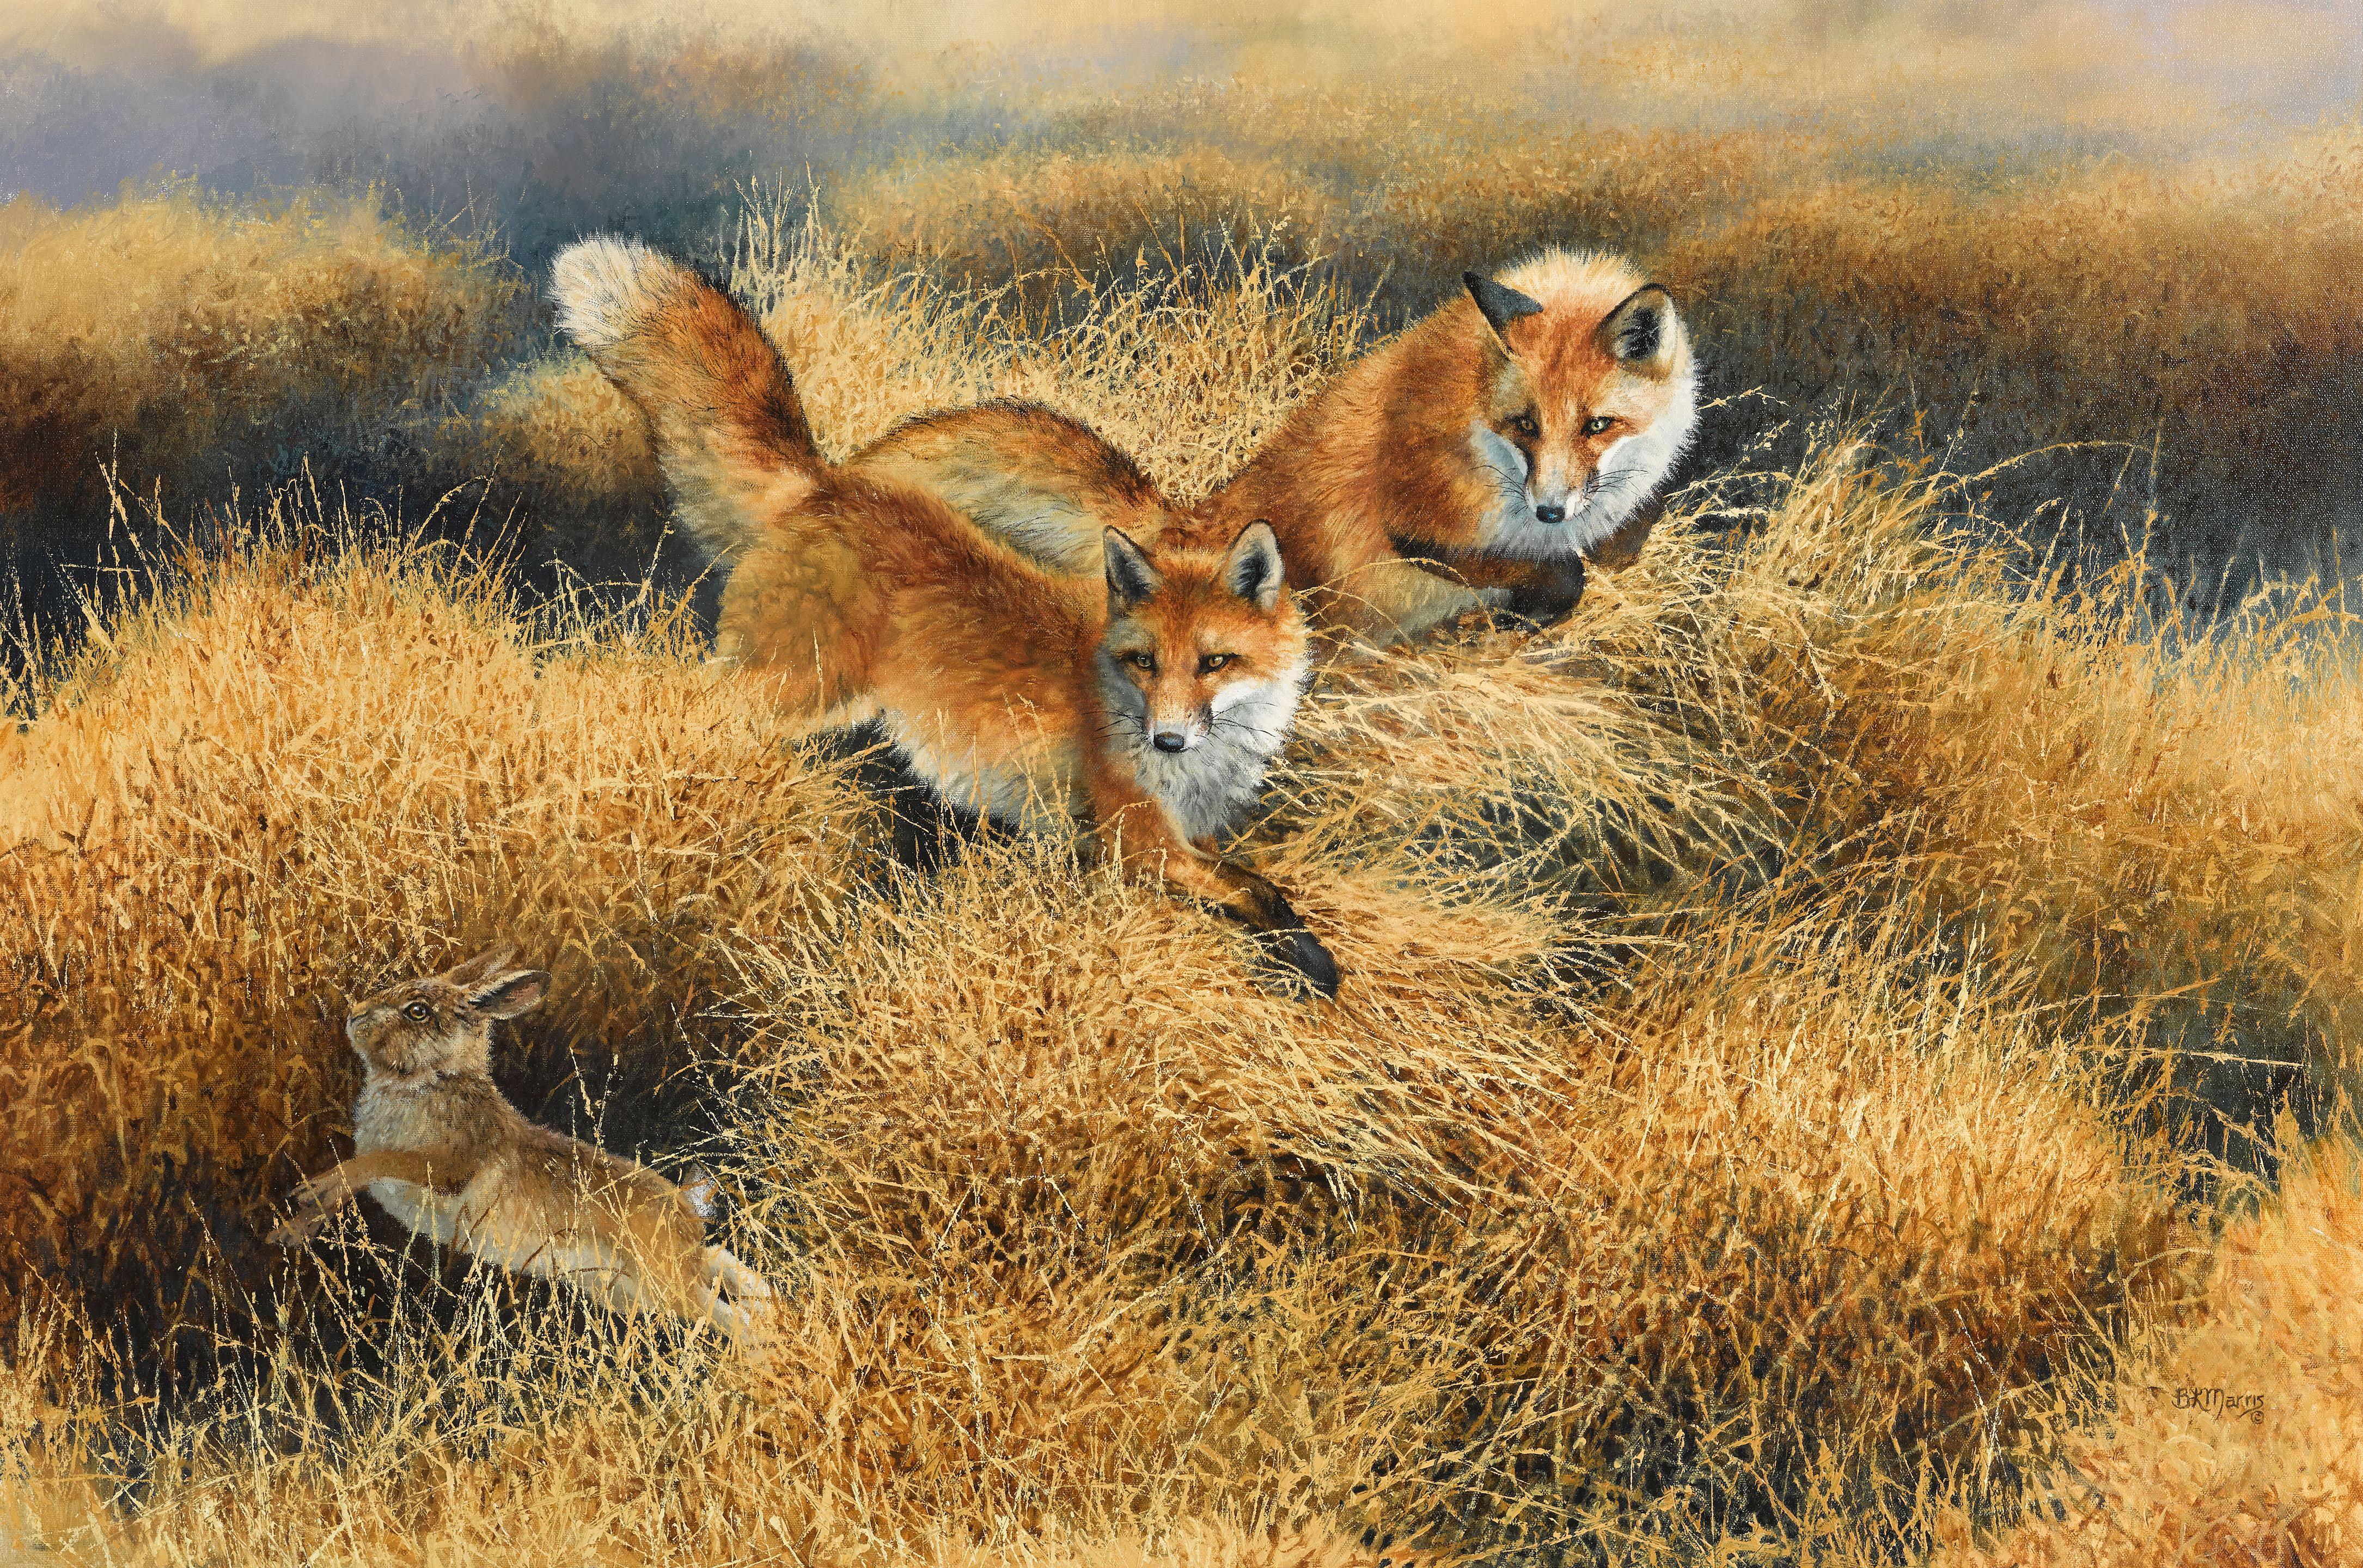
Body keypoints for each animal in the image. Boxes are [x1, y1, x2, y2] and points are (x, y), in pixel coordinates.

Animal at [268, 946, 777, 1344]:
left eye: (417, 1010)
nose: (354, 1016)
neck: (433, 1081)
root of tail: (688, 1213)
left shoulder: (451, 1167)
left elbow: (380, 1160)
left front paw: (310, 1190)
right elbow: (349, 1185)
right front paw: (289, 1231)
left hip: (663, 1281)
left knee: (734, 1318)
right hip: (630, 1289)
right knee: (727, 1281)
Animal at [549, 237, 1339, 995]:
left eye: (1215, 662)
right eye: (1144, 662)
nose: (1168, 739)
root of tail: (831, 487)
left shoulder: (1185, 837)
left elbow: (1255, 883)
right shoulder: (1135, 840)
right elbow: (1261, 897)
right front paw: (1309, 963)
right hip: (793, 694)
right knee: (687, 709)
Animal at [852, 249, 1697, 647]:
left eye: (1596, 426)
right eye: (1524, 425)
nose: (1551, 510)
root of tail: (1193, 523)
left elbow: (1612, 548)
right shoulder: (1421, 521)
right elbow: (1558, 577)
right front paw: (1530, 605)